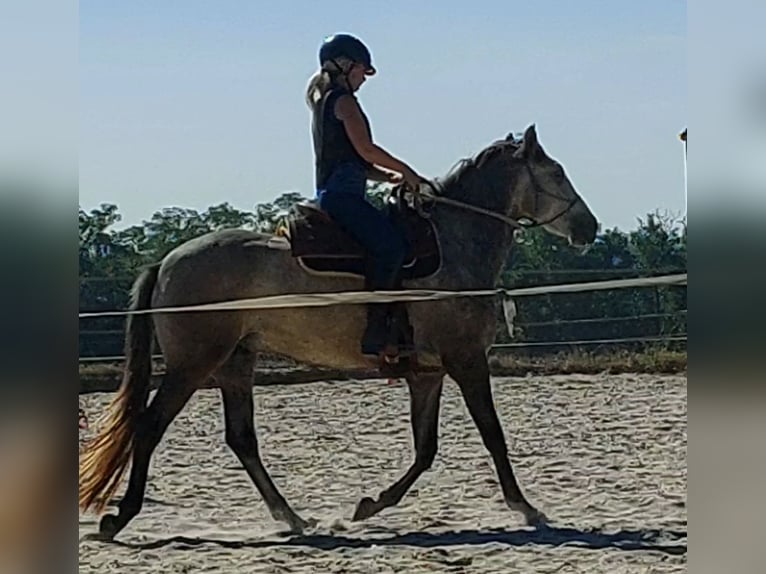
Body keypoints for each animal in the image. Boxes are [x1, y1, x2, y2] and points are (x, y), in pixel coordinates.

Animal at [81, 124, 604, 544]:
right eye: (556, 172)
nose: (590, 226)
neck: (454, 245)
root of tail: (166, 261)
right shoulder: (467, 361)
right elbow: (492, 435)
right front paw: (527, 509)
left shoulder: (428, 374)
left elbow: (426, 449)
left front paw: (368, 506)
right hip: (194, 363)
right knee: (150, 426)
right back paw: (119, 519)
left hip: (235, 362)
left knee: (242, 439)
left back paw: (292, 518)